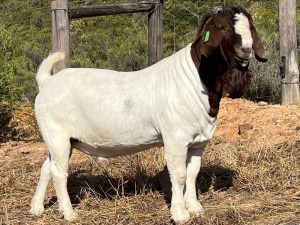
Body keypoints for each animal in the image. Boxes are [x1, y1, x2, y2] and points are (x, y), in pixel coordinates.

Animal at [29, 5, 268, 223]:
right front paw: (180, 214)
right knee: (59, 173)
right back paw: (69, 213)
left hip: (63, 140)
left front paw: (195, 208)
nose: (245, 49)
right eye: (221, 27)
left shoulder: (198, 143)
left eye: (250, 25)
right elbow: (179, 175)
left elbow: (192, 173)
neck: (196, 79)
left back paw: (37, 208)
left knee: (47, 167)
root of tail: (46, 83)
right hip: (57, 135)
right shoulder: (175, 139)